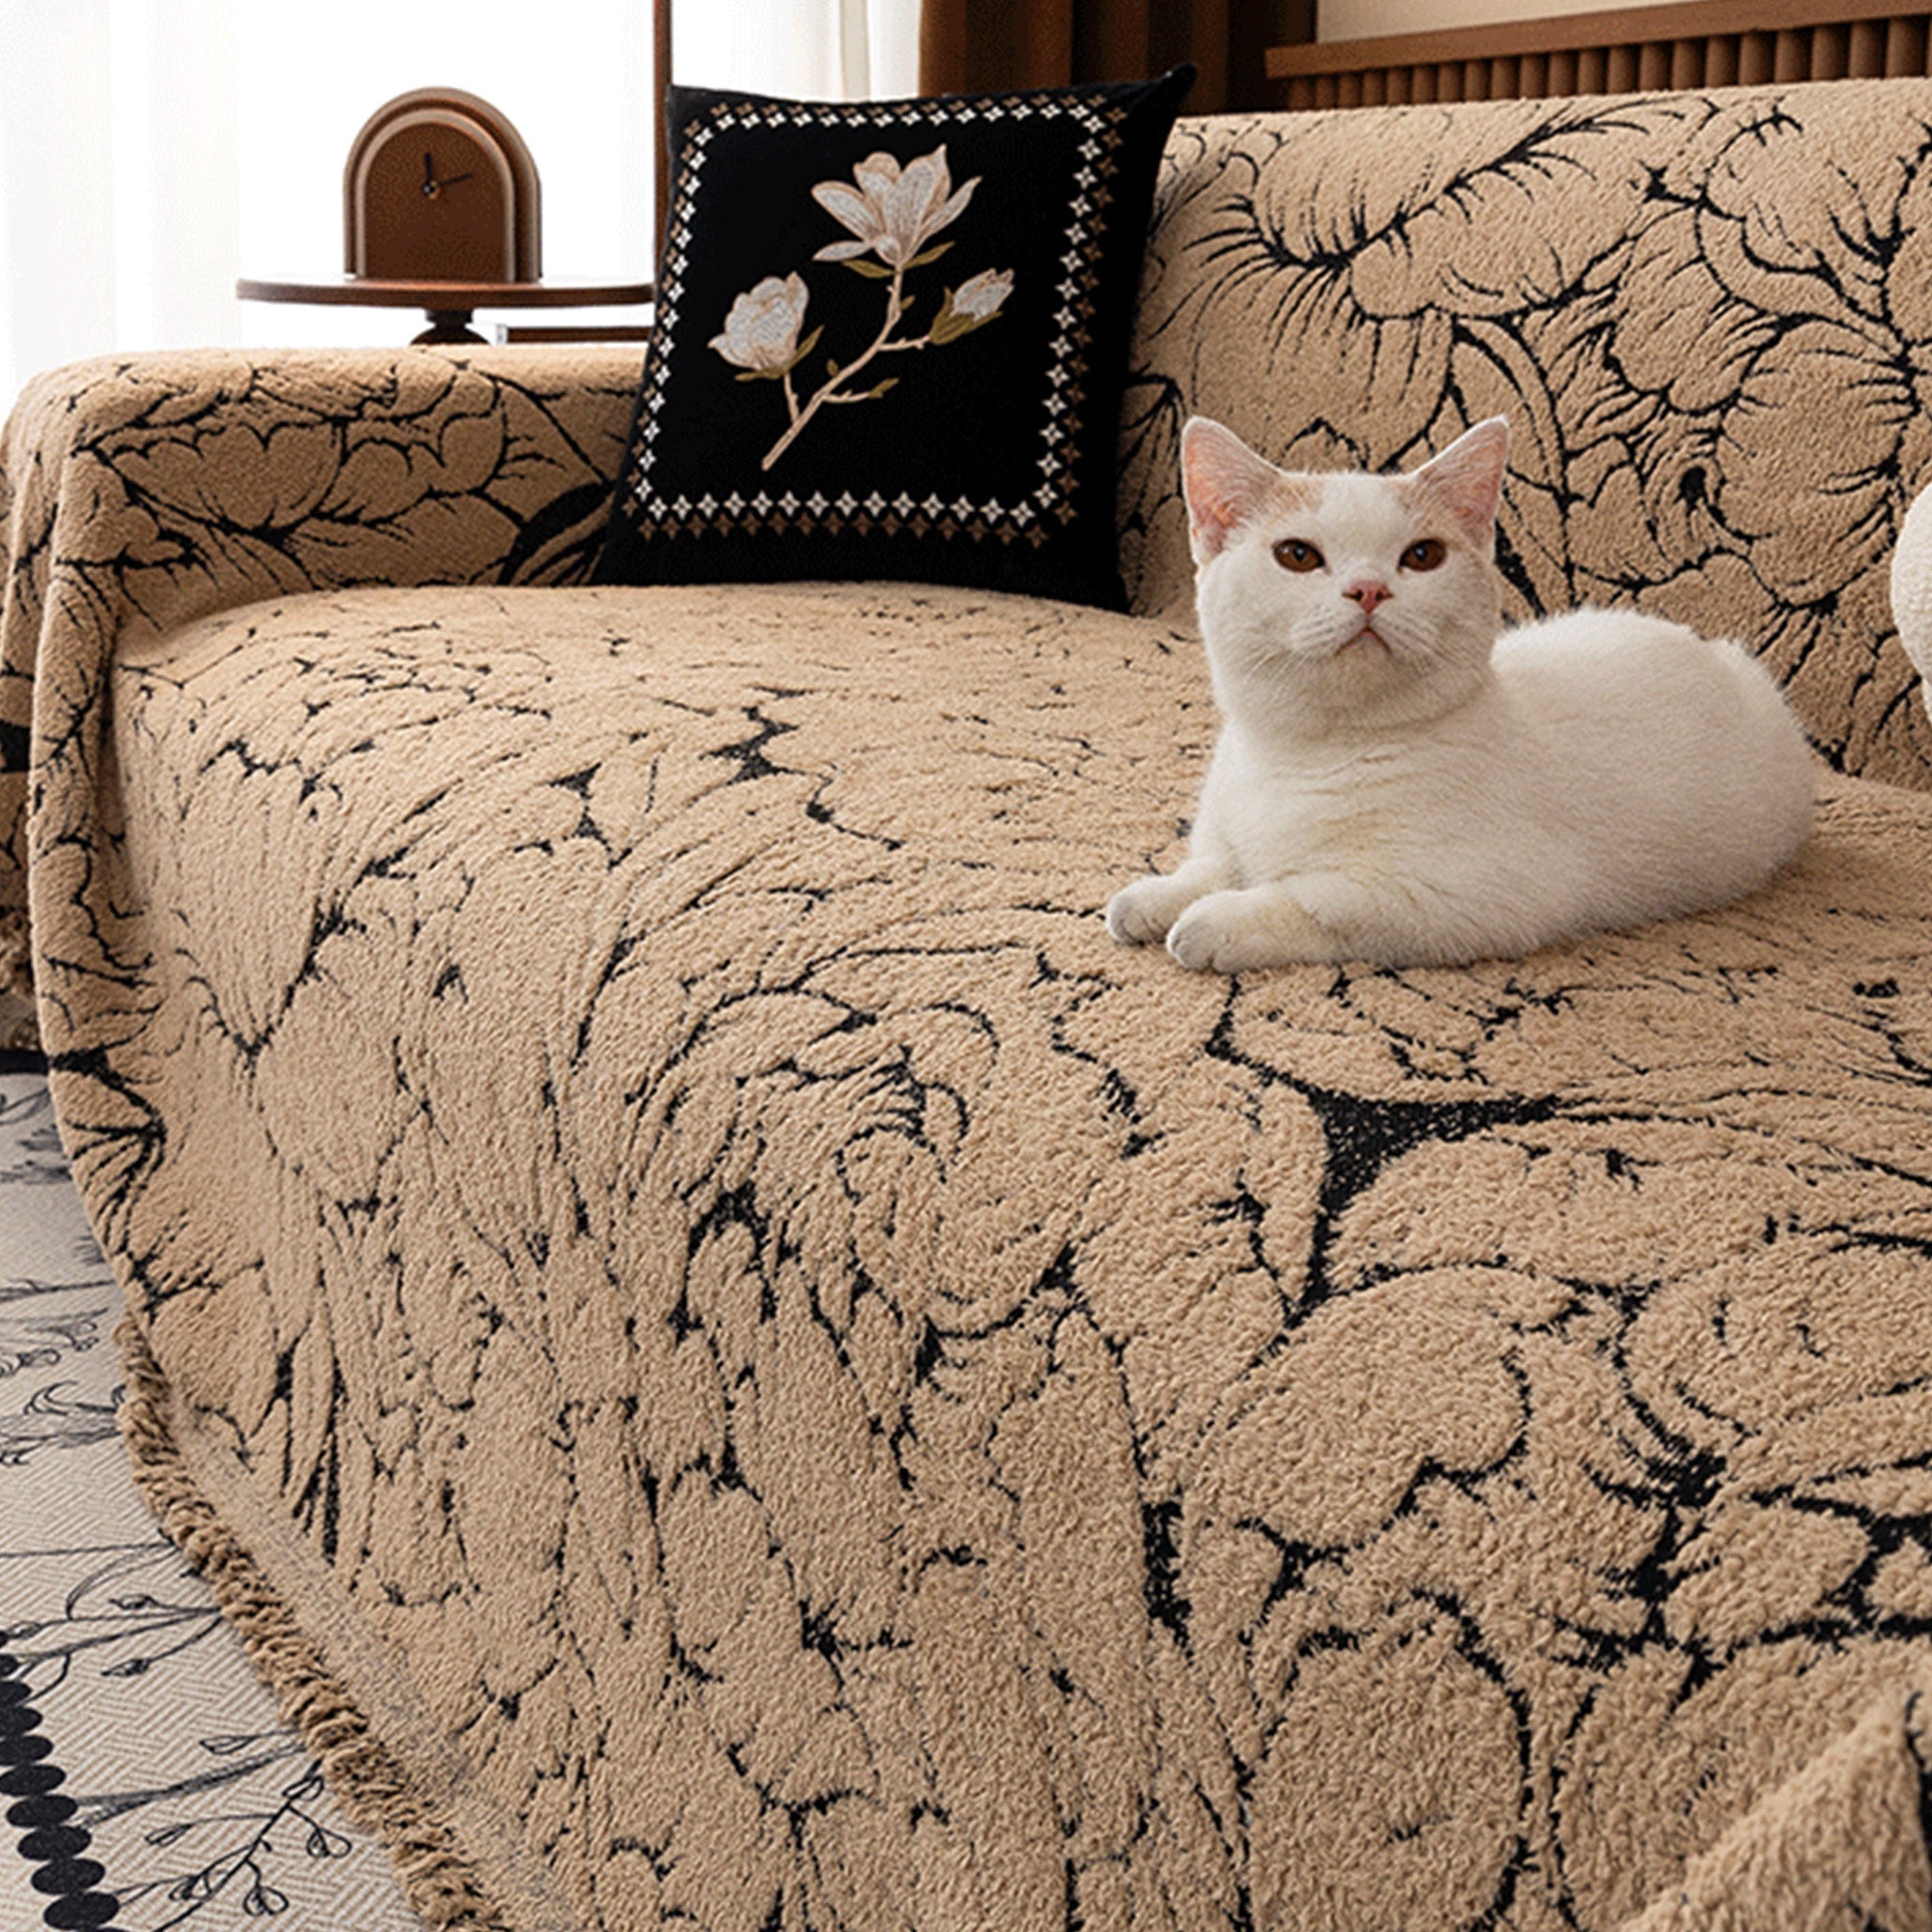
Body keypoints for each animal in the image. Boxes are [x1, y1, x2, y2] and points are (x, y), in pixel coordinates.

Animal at [1106, 415, 1815, 971]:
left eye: (1422, 556)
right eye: (1298, 556)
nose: (1369, 589)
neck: (1304, 755)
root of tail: (1725, 655)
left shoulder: (1471, 898)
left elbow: (1315, 900)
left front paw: (1214, 922)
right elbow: (1214, 863)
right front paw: (1154, 896)